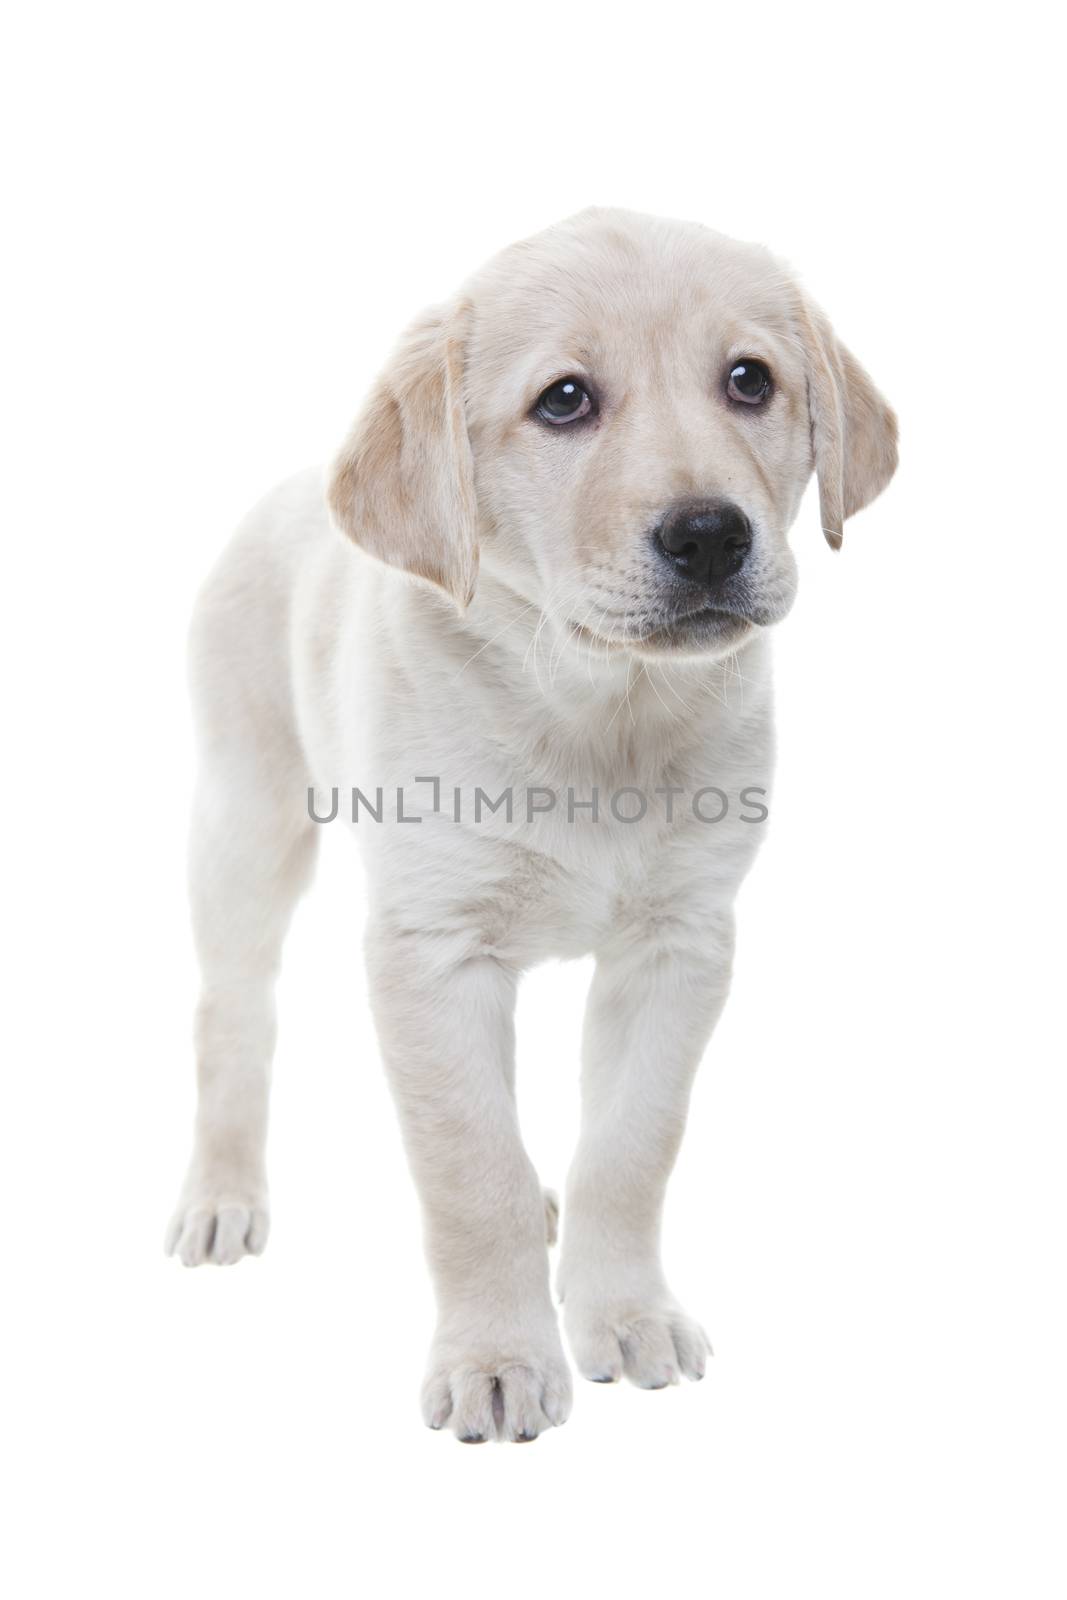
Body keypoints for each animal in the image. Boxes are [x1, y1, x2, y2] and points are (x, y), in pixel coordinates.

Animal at [168, 206, 902, 1446]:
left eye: (748, 380)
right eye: (563, 400)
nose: (709, 535)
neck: (592, 706)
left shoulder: (680, 943)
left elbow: (629, 1145)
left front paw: (624, 1313)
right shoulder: (431, 950)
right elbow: (472, 1172)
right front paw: (499, 1358)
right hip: (246, 818)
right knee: (234, 1018)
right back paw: (221, 1192)